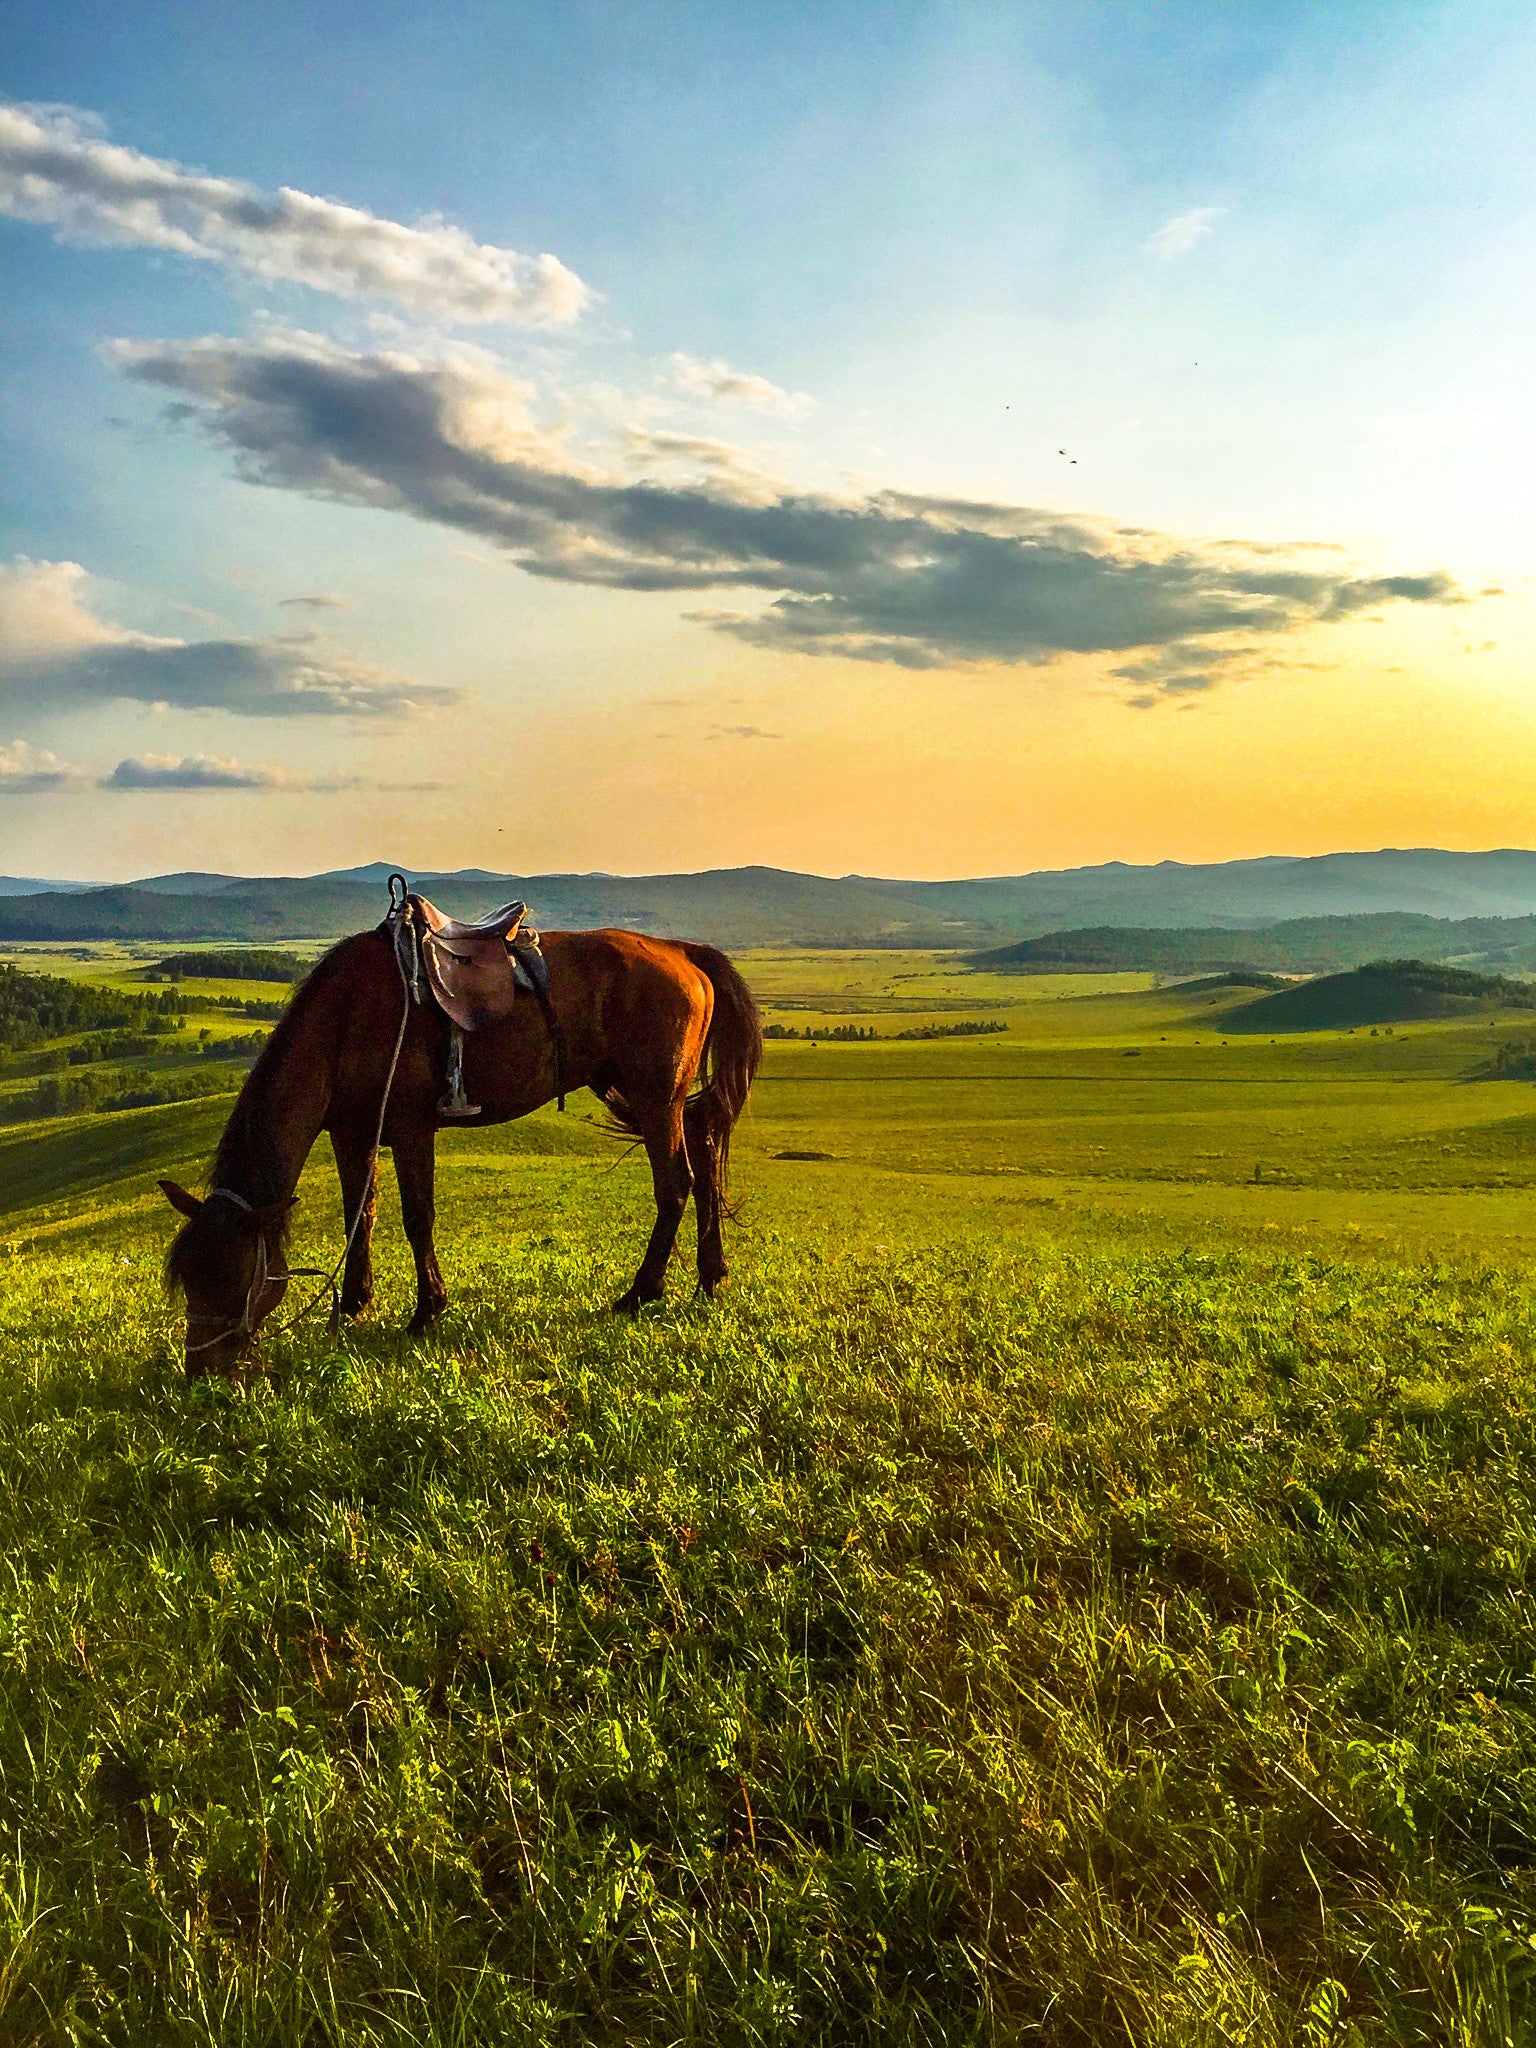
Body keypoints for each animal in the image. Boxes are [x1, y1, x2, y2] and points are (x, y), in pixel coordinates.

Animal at [162, 917, 765, 1376]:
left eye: (236, 1275)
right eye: (188, 1278)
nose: (203, 1371)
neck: (345, 1020)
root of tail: (682, 951)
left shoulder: (410, 1127)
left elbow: (416, 1216)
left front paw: (427, 1310)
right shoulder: (352, 1132)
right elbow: (361, 1215)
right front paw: (353, 1305)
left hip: (654, 1098)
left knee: (676, 1184)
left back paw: (641, 1292)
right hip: (652, 1098)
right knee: (705, 1153)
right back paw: (710, 1277)